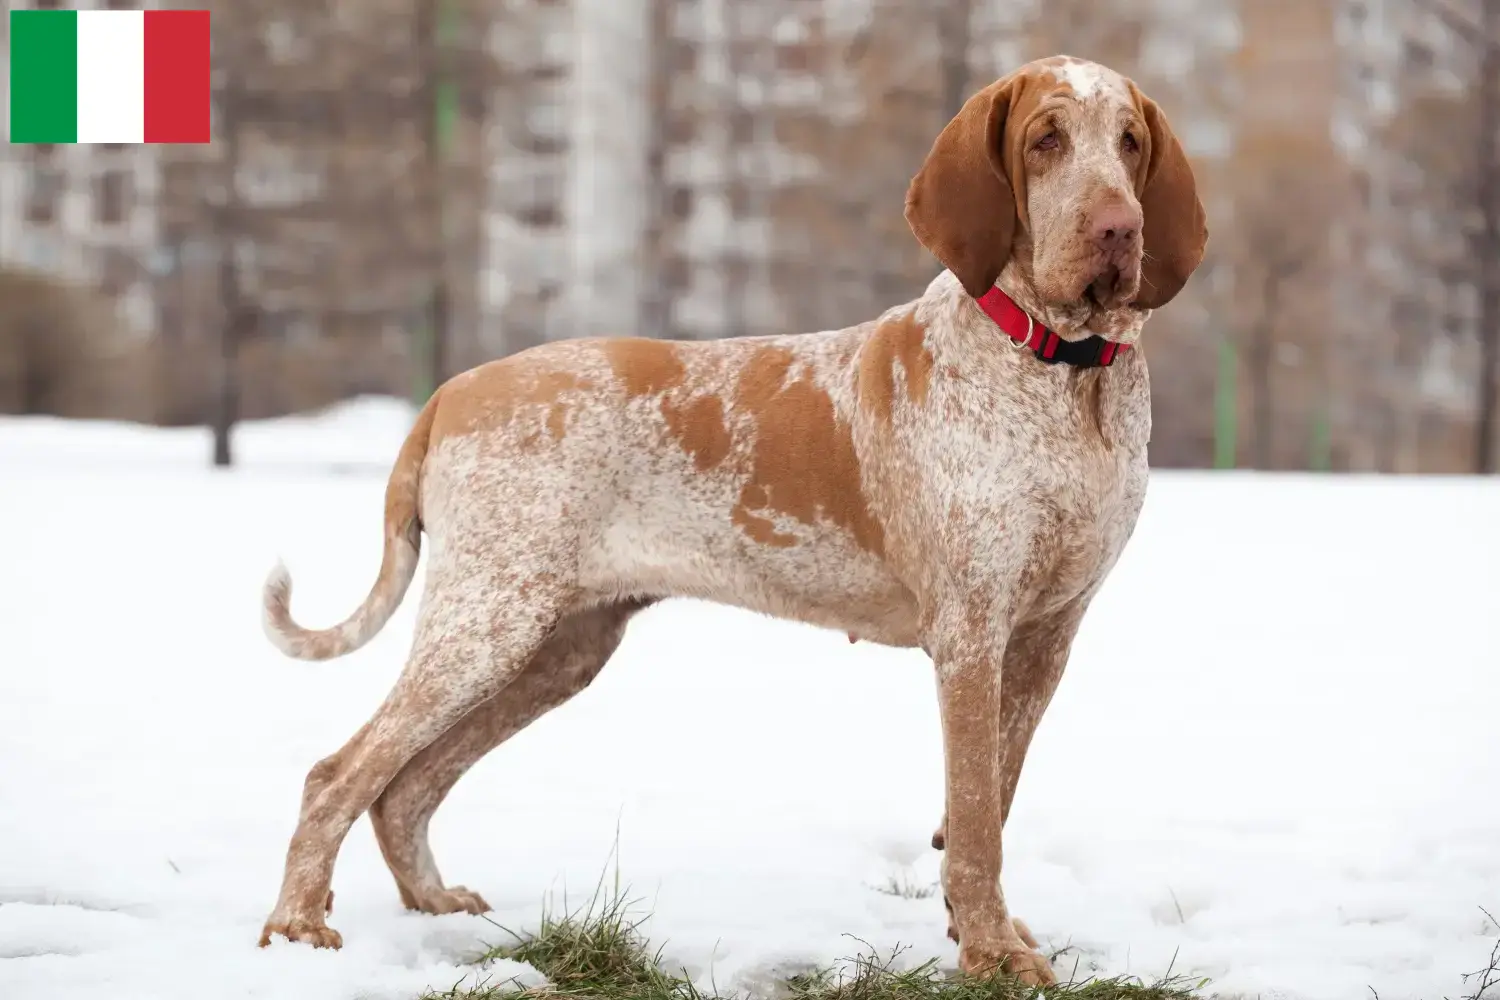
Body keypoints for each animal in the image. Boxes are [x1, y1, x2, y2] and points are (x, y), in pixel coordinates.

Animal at [258, 54, 1206, 983]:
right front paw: (991, 955)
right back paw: (298, 927)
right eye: (1046, 140)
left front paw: (981, 932)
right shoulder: (971, 634)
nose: (1119, 229)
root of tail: (449, 391)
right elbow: (975, 822)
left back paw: (433, 906)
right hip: (488, 624)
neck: (1062, 375)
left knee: (406, 787)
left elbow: (991, 805)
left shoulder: (1045, 639)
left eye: (1128, 141)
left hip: (556, 650)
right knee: (338, 774)